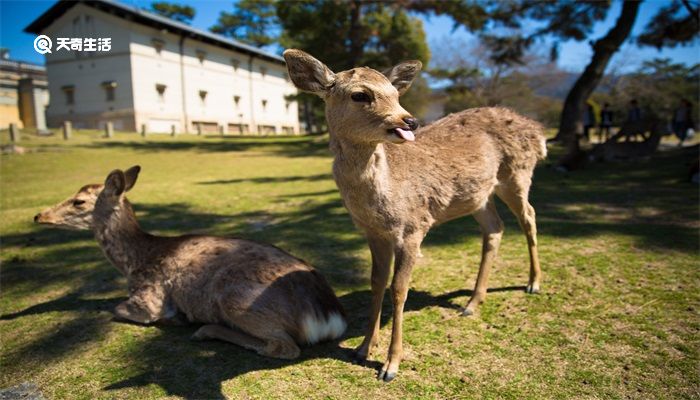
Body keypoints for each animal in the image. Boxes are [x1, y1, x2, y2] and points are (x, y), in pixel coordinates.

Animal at [34, 166, 346, 360]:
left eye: (78, 201)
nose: (39, 215)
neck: (133, 262)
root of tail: (329, 317)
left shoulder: (148, 297)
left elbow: (117, 308)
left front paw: (172, 317)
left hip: (236, 299)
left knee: (282, 347)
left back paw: (203, 329)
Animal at [284, 49, 548, 382]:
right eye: (360, 94)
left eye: (396, 93)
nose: (409, 120)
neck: (384, 200)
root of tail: (539, 132)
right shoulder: (373, 233)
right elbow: (376, 283)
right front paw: (362, 349)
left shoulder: (414, 227)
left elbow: (399, 289)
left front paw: (390, 366)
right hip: (480, 195)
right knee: (495, 228)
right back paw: (472, 303)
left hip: (517, 174)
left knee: (529, 216)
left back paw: (533, 283)